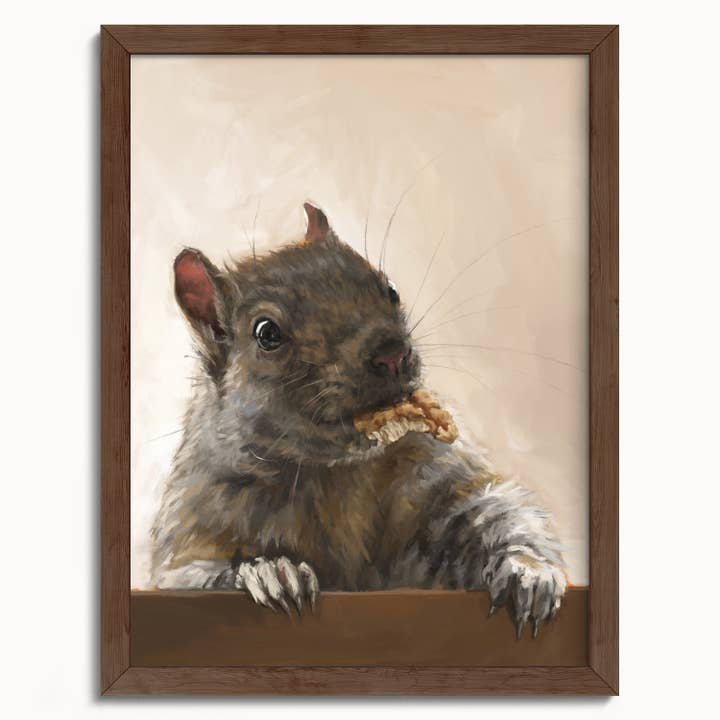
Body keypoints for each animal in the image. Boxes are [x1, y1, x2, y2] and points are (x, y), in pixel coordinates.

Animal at [151, 202, 567, 638]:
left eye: (391, 289)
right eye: (266, 333)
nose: (391, 352)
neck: (333, 472)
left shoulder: (433, 472)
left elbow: (492, 508)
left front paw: (528, 571)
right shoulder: (195, 524)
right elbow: (188, 574)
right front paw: (269, 571)